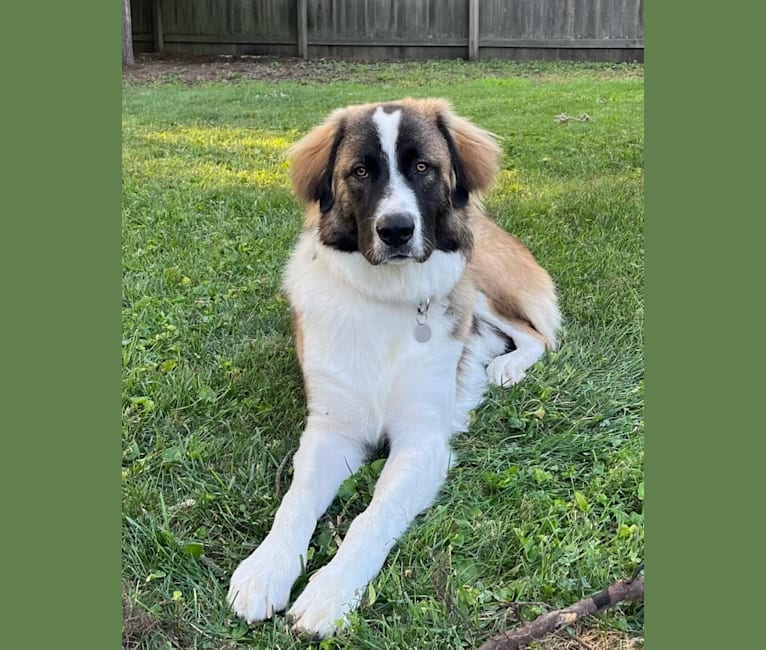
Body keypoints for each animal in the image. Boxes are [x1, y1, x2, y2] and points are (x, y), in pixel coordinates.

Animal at [225, 98, 560, 636]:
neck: (387, 298)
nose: (397, 230)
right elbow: (295, 501)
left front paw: (330, 591)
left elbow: (373, 515)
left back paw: (504, 368)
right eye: (360, 171)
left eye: (422, 167)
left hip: (479, 284)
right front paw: (265, 568)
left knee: (537, 334)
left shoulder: (421, 442)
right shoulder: (331, 430)